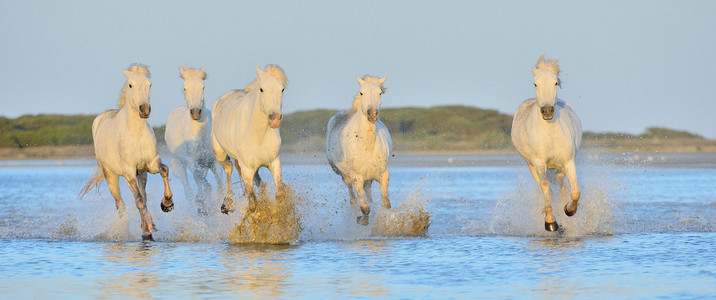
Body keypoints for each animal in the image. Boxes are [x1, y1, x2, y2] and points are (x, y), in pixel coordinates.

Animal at [81, 63, 175, 241]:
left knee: (143, 195)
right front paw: (149, 229)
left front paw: (167, 204)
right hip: (111, 176)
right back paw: (128, 231)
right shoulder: (129, 171)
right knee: (121, 204)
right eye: (130, 85)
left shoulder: (151, 165)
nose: (145, 109)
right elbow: (138, 201)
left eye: (149, 85)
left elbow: (164, 170)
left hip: (141, 174)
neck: (136, 134)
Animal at [165, 65, 224, 213]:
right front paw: (202, 204)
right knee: (189, 190)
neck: (201, 135)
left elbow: (220, 183)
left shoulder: (214, 161)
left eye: (203, 87)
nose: (196, 113)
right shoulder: (192, 162)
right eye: (185, 88)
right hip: (181, 165)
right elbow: (199, 178)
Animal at [210, 65, 288, 214]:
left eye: (282, 89)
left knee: (259, 182)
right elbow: (253, 203)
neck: (258, 135)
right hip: (220, 154)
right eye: (261, 89)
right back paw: (227, 203)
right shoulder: (246, 169)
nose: (275, 119)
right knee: (228, 168)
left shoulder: (274, 162)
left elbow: (280, 195)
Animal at [326, 74, 392, 225]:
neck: (367, 147)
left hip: (369, 179)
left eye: (380, 93)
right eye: (362, 93)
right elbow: (365, 207)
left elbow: (385, 204)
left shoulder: (383, 175)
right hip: (345, 177)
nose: (372, 113)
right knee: (353, 199)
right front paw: (361, 220)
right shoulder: (357, 178)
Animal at [510, 55, 580, 231]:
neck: (550, 134)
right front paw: (550, 222)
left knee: (562, 184)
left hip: (560, 167)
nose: (547, 111)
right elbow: (546, 187)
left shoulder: (569, 162)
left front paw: (569, 210)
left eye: (555, 82)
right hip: (531, 165)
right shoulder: (539, 163)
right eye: (535, 83)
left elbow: (575, 192)